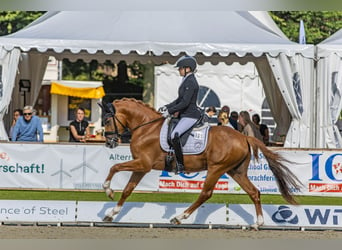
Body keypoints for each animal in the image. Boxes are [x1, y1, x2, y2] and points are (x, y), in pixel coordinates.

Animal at [98, 98, 302, 230]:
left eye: (107, 120)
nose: (109, 143)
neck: (146, 127)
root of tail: (243, 136)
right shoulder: (141, 167)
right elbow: (127, 190)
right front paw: (111, 214)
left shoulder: (143, 164)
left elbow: (114, 167)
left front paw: (108, 191)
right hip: (236, 171)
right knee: (254, 192)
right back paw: (257, 223)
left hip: (216, 168)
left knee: (206, 193)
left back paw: (179, 218)